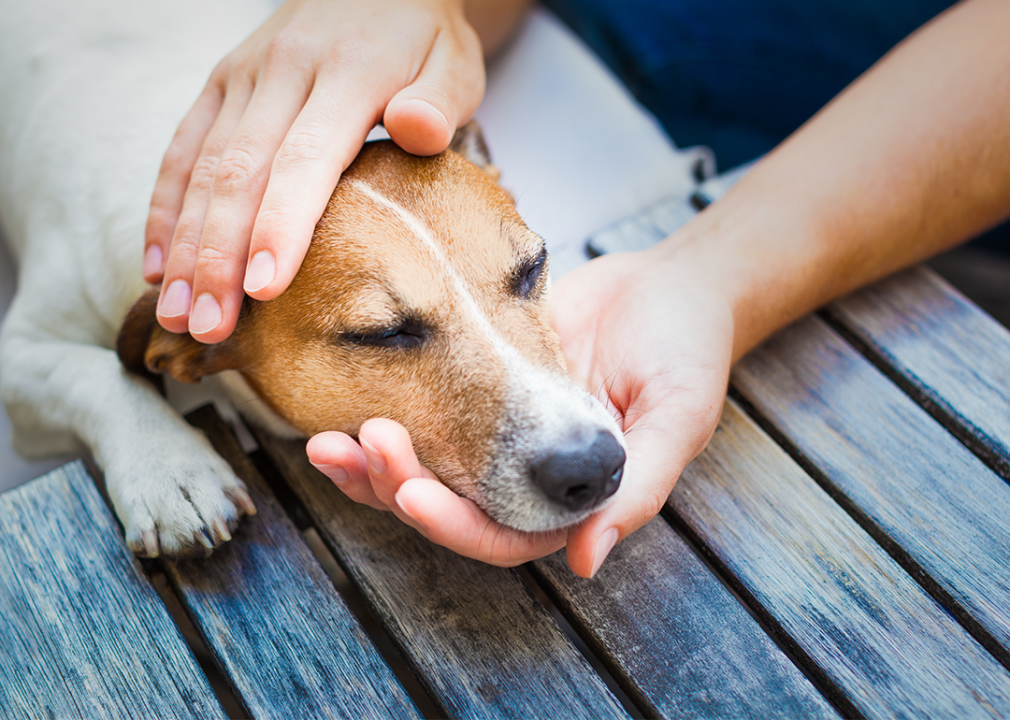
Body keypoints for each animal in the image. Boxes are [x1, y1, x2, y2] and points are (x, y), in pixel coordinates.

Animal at [0, 0, 622, 557]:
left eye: (533, 268)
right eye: (383, 334)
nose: (593, 464)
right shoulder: (21, 357)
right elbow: (98, 373)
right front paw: (169, 469)